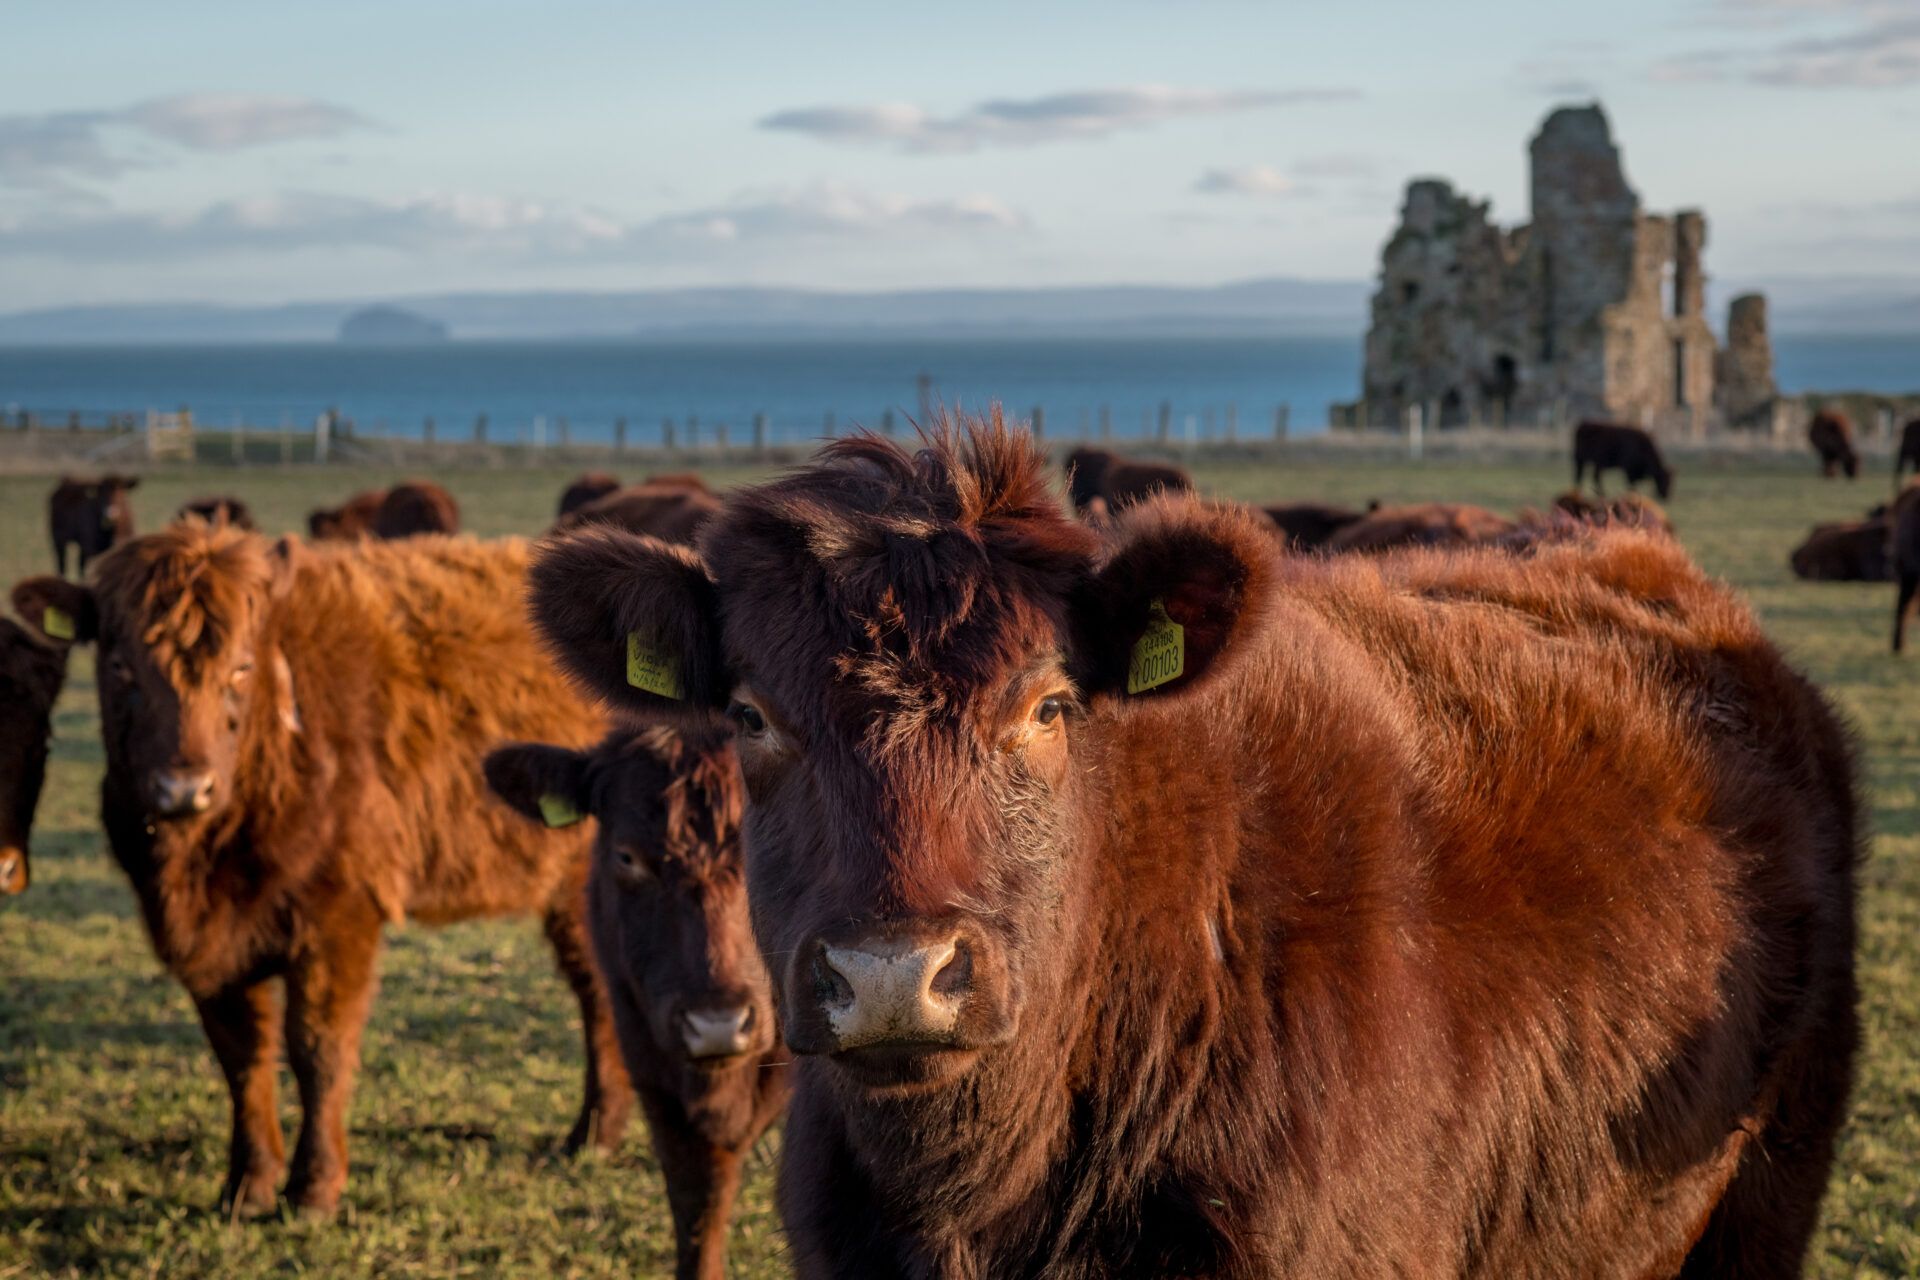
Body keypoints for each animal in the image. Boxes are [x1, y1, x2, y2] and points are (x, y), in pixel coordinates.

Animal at [9, 525, 631, 1218]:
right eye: (120, 669)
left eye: (240, 669)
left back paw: (596, 1133)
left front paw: (313, 1188)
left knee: (598, 992)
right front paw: (247, 1185)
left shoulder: (339, 922)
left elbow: (318, 1050)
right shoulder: (214, 951)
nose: (183, 788)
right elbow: (243, 1057)